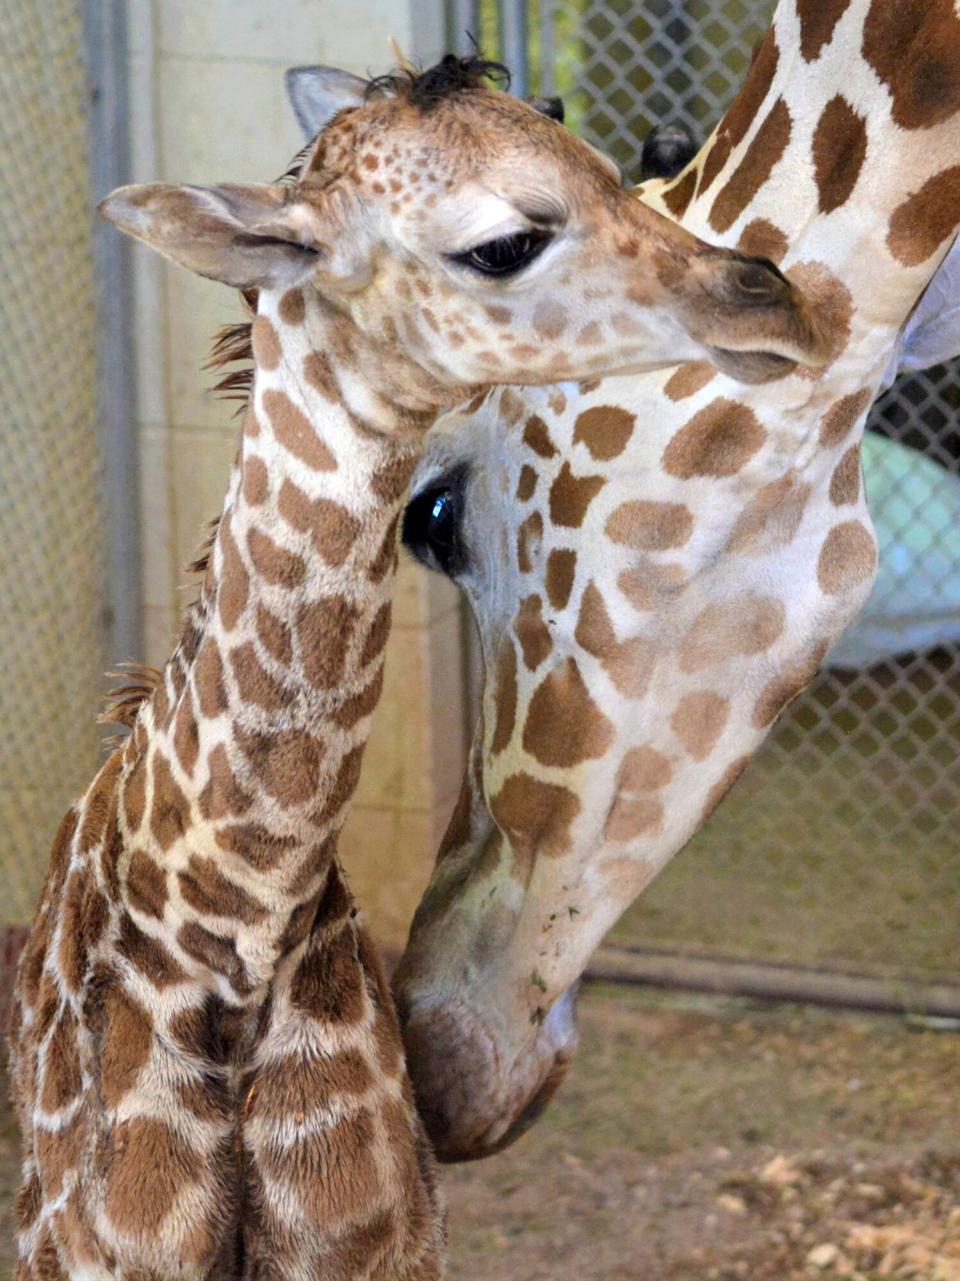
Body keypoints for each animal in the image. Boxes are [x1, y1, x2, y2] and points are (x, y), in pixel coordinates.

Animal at [7, 52, 825, 1281]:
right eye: (503, 242)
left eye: (610, 164)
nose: (773, 298)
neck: (227, 938)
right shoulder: (96, 1258)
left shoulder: (381, 1250)